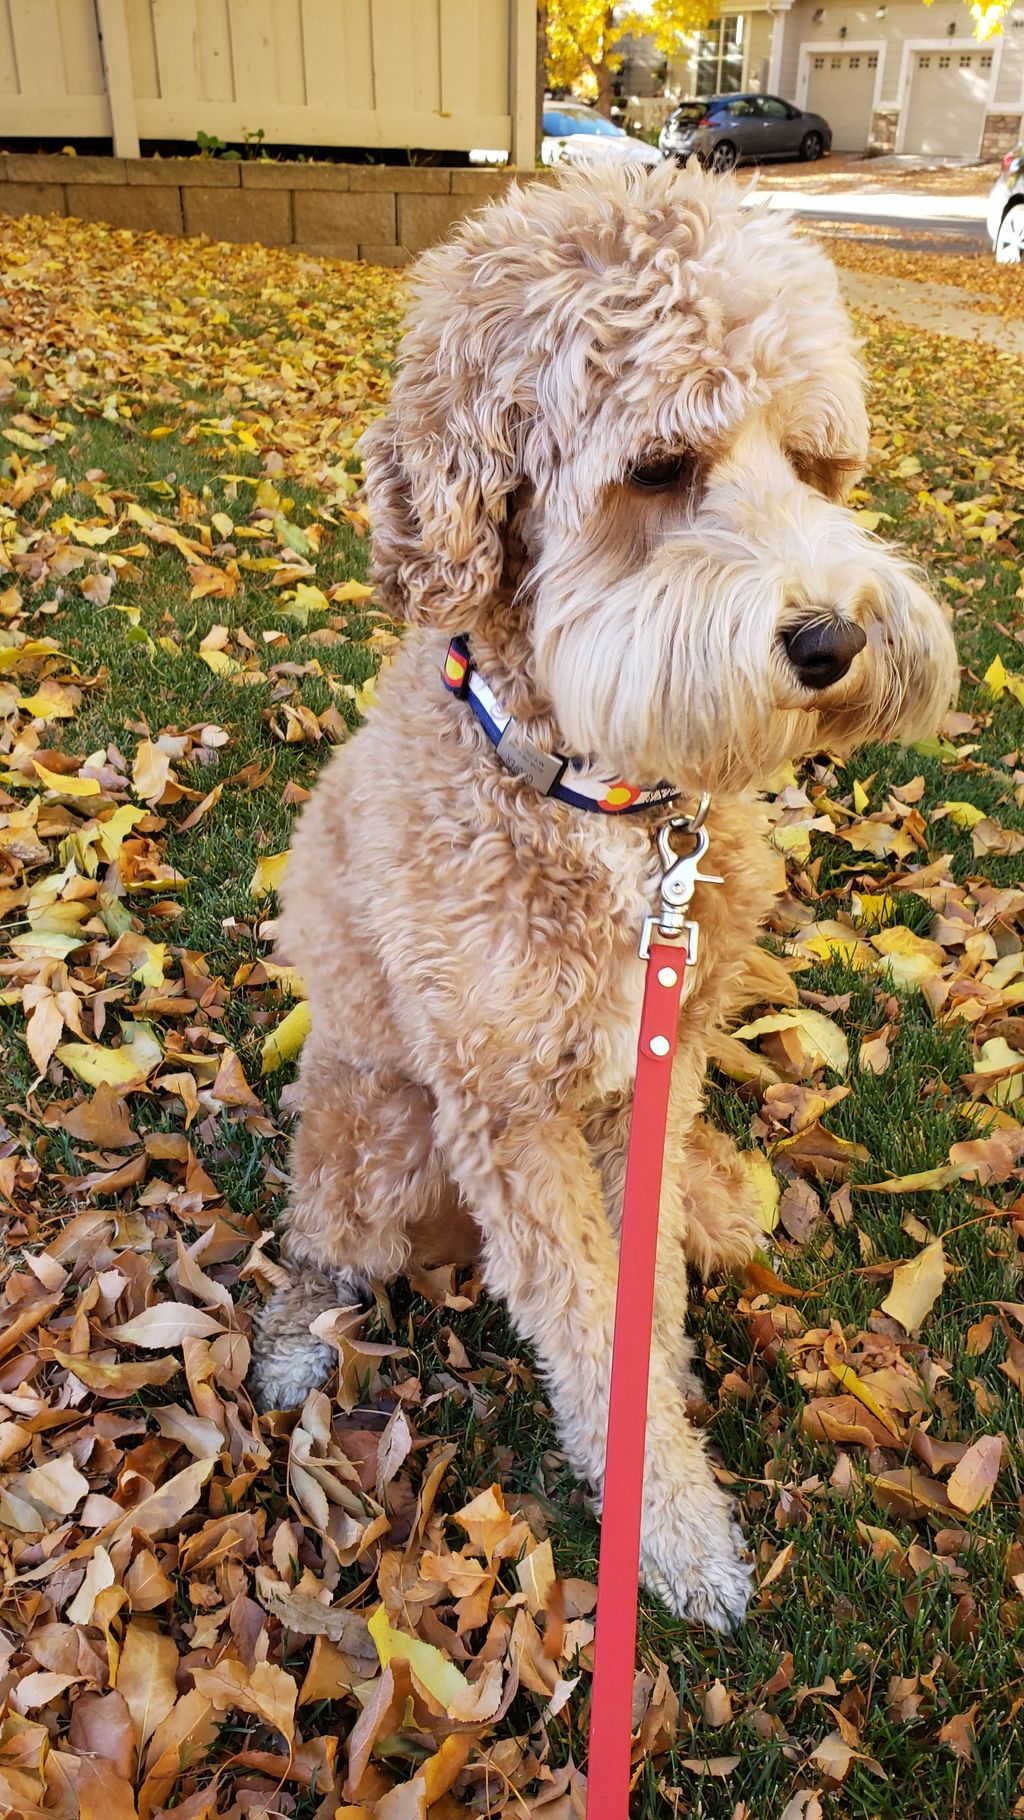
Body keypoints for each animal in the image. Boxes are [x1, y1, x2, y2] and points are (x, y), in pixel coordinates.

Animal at [250, 163, 960, 1630]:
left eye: (815, 465)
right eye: (660, 470)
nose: (835, 638)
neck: (607, 807)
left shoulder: (654, 1066)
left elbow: (648, 1289)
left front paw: (665, 1381)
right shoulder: (506, 1107)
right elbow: (583, 1318)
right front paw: (675, 1527)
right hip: (381, 1127)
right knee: (324, 1241)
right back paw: (295, 1341)